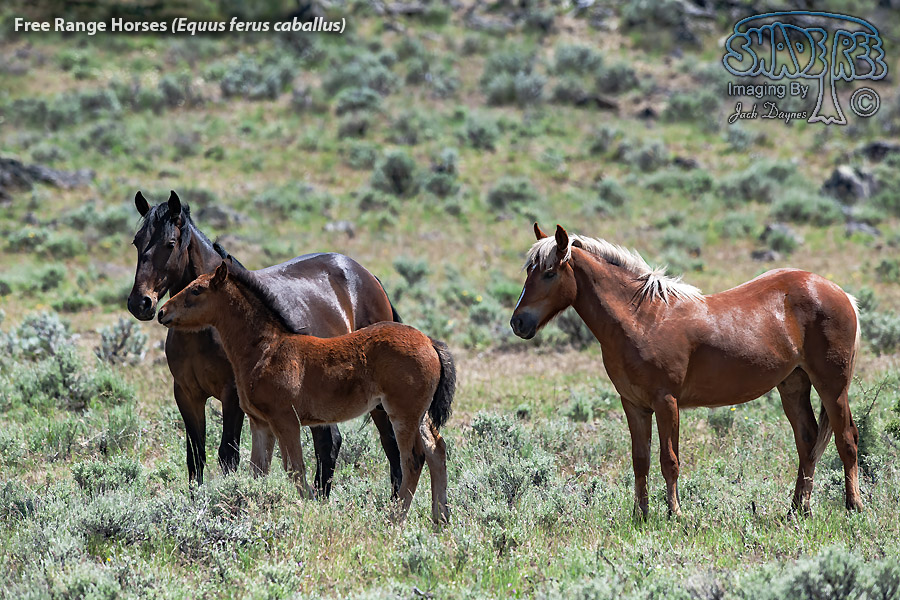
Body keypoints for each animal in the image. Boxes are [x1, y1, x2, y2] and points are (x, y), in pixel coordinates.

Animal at [127, 190, 403, 496]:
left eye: (170, 243)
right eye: (137, 241)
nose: (141, 303)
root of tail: (367, 276)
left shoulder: (232, 395)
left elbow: (228, 455)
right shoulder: (187, 394)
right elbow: (195, 458)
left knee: (390, 443)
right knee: (329, 442)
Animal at [157, 259, 455, 523]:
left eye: (197, 290)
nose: (162, 312)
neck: (267, 349)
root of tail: (430, 342)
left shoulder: (286, 421)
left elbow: (295, 469)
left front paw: (312, 509)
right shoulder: (260, 423)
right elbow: (258, 471)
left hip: (401, 414)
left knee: (413, 459)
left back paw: (395, 519)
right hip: (418, 415)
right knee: (436, 450)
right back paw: (440, 519)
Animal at [510, 223, 863, 519]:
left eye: (549, 272)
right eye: (529, 270)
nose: (519, 322)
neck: (643, 318)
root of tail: (840, 293)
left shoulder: (666, 402)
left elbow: (669, 460)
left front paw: (675, 514)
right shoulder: (634, 404)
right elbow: (640, 460)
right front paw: (640, 515)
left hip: (832, 386)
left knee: (846, 439)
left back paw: (853, 506)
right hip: (793, 385)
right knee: (807, 442)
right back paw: (797, 510)